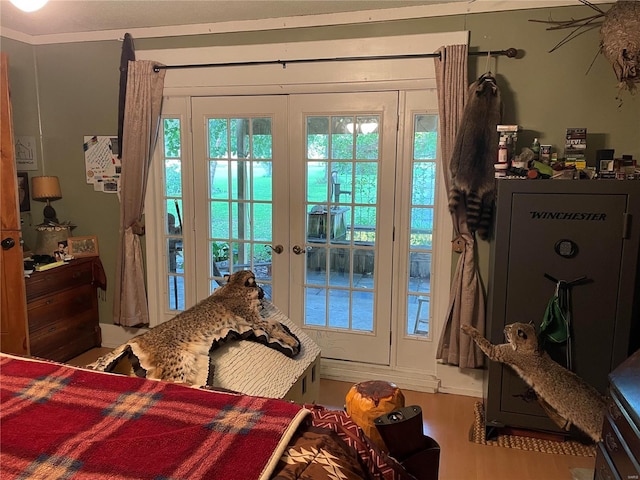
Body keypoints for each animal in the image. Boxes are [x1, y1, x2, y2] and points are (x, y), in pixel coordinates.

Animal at [460, 322, 604, 442]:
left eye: (511, 328)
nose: (505, 326)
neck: (534, 347)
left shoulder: (497, 351)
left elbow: (481, 339)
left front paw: (467, 328)